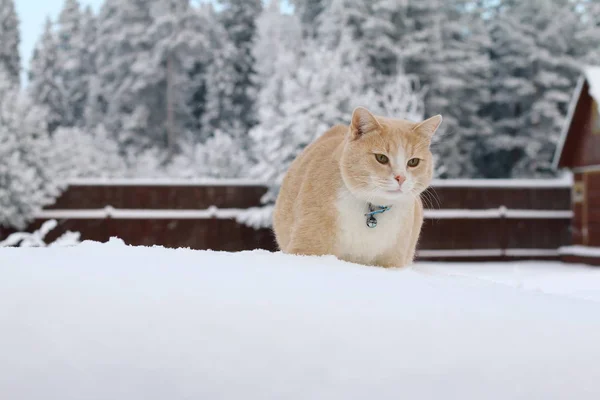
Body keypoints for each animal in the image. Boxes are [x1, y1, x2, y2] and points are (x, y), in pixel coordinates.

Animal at [272, 108, 440, 268]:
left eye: (413, 162)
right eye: (381, 158)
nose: (401, 178)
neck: (371, 207)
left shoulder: (393, 260)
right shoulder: (308, 247)